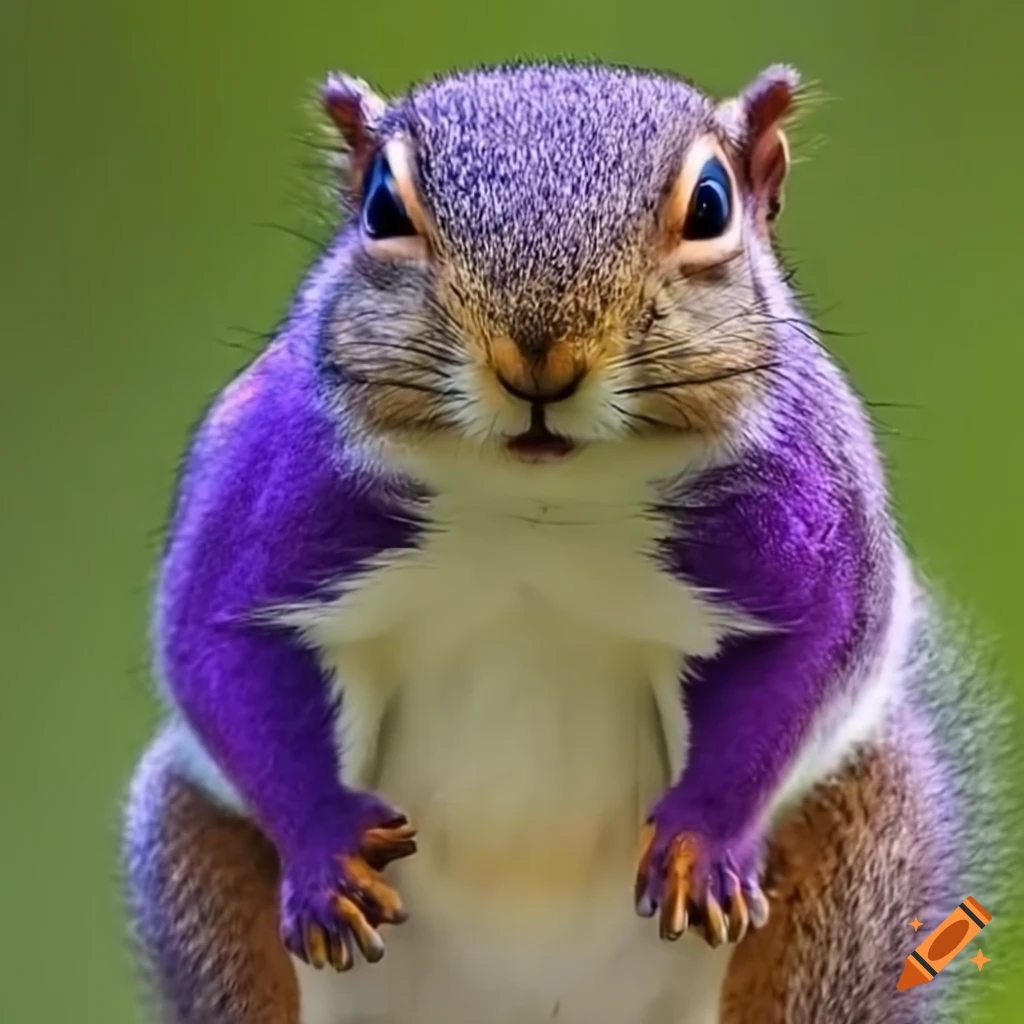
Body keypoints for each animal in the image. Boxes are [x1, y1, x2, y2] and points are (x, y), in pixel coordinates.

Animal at [120, 60, 1008, 1024]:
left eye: (711, 204)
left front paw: (704, 839)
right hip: (204, 873)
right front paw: (323, 844)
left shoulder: (815, 508)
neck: (538, 501)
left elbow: (815, 650)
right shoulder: (267, 486)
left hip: (854, 874)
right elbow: (218, 644)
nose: (537, 359)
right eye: (382, 208)